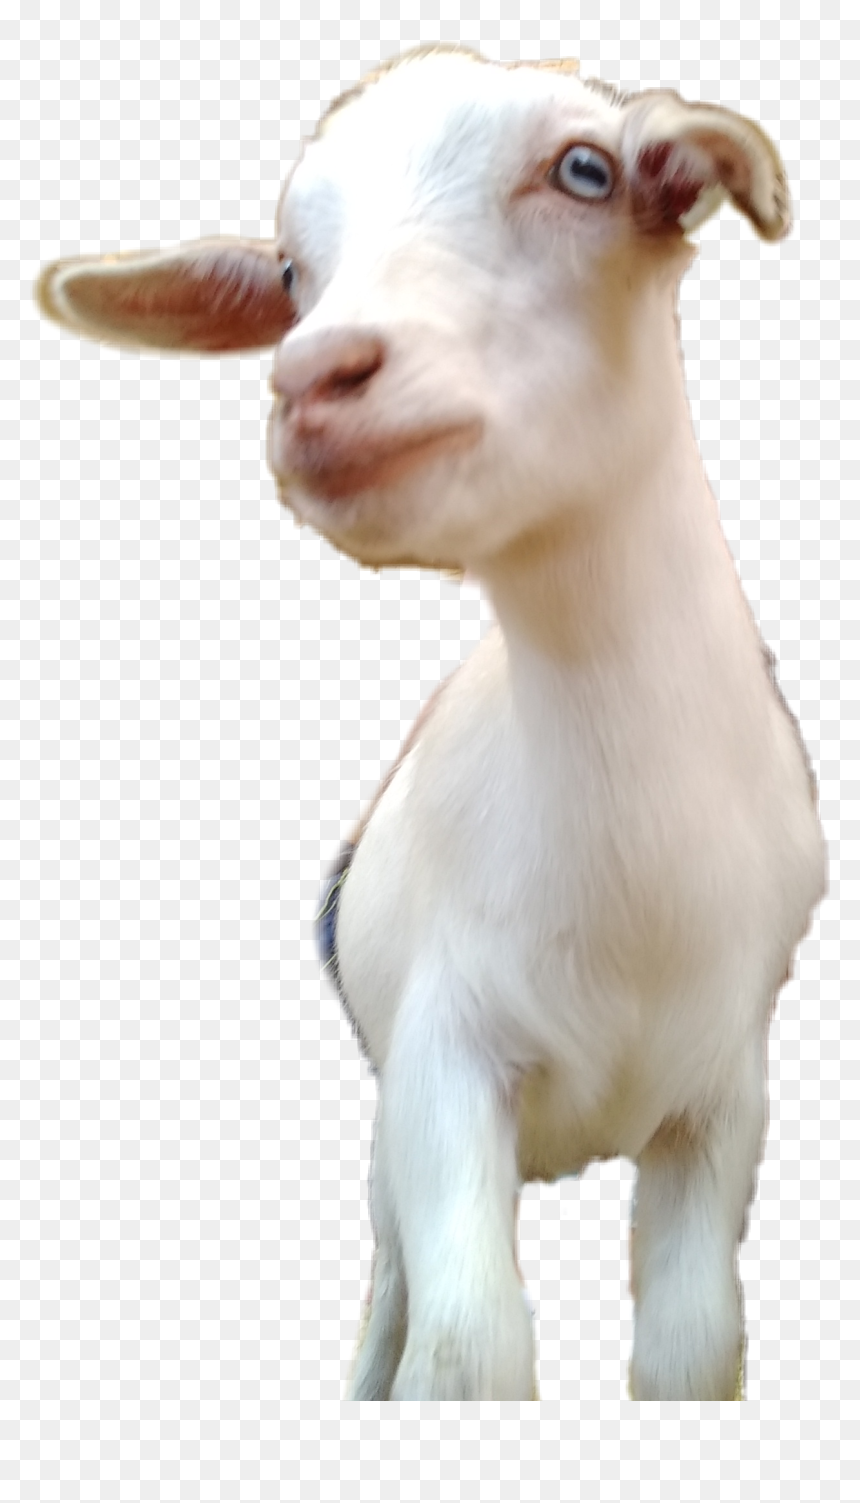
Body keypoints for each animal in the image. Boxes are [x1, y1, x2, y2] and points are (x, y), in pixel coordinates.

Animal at [36, 47, 826, 1401]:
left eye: (586, 168)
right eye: (290, 271)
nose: (314, 378)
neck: (629, 899)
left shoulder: (721, 1094)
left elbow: (691, 1349)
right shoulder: (436, 1066)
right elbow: (463, 1350)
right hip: (385, 1151)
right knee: (393, 1291)